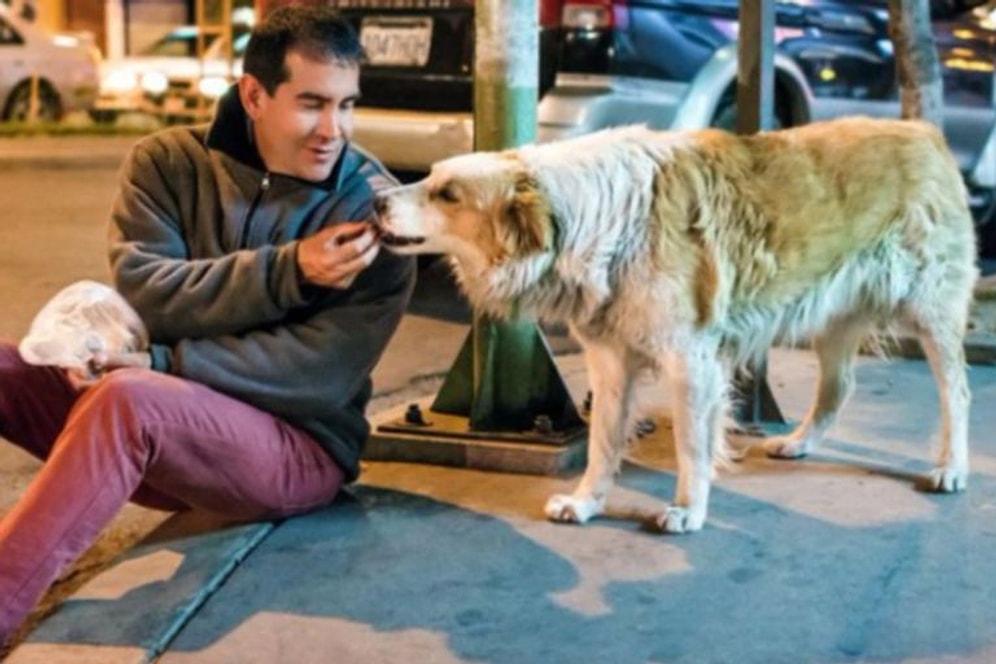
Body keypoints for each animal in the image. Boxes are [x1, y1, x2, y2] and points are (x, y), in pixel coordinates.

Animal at [372, 118, 972, 536]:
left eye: (448, 194)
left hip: (932, 312)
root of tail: (926, 131)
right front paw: (587, 502)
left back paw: (951, 468)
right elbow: (602, 441)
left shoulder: (691, 361)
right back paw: (800, 443)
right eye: (430, 177)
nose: (376, 200)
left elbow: (690, 443)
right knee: (838, 388)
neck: (592, 219)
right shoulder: (610, 360)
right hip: (833, 317)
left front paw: (687, 510)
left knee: (958, 394)